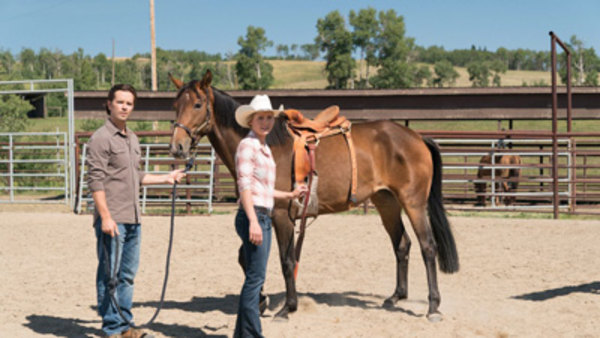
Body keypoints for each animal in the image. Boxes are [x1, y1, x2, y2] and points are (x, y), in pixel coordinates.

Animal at [166, 70, 458, 322]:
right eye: (175, 104)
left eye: (198, 104)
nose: (177, 147)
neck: (266, 146)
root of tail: (416, 137)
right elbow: (245, 257)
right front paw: (261, 300)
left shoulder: (282, 216)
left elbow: (286, 260)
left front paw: (287, 307)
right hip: (387, 202)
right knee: (402, 245)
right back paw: (396, 296)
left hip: (413, 203)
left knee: (427, 247)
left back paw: (433, 307)